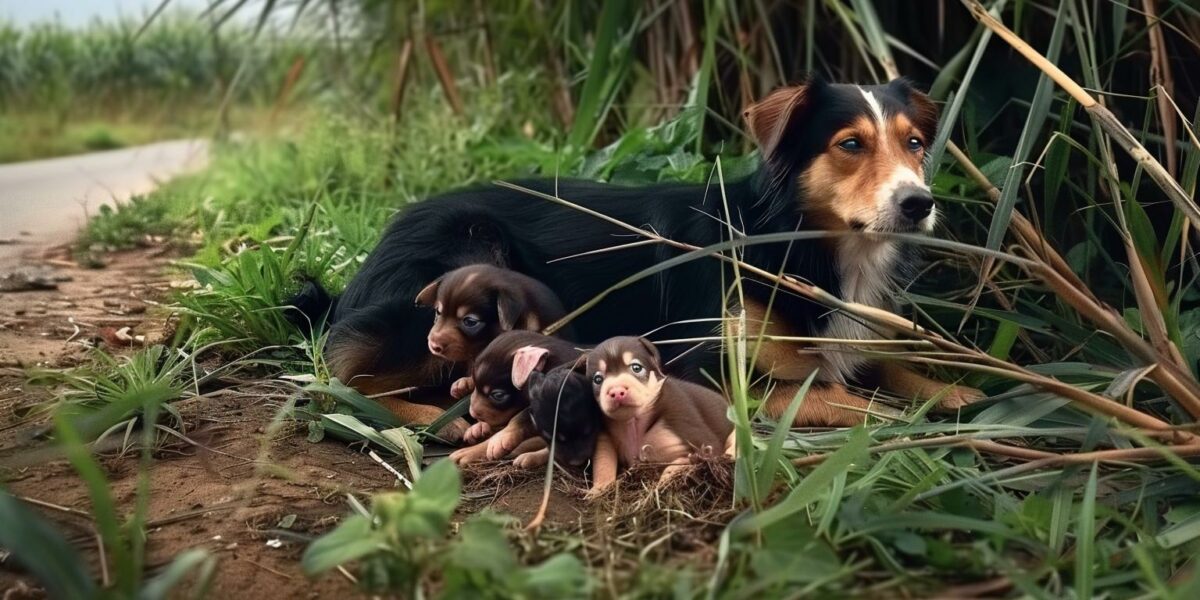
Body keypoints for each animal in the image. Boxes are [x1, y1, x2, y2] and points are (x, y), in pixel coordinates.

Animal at [292, 77, 984, 429]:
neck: (792, 240)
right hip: (467, 266)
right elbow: (845, 399)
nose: (919, 203)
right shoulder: (699, 364)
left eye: (915, 143)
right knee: (334, 380)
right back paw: (435, 414)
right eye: (850, 144)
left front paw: (961, 396)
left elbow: (897, 371)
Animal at [585, 336, 734, 494]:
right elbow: (603, 460)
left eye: (636, 368)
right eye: (597, 379)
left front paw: (664, 480)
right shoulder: (605, 437)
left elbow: (685, 460)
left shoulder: (701, 438)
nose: (616, 391)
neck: (633, 422)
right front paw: (598, 490)